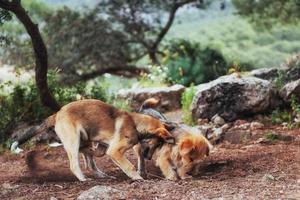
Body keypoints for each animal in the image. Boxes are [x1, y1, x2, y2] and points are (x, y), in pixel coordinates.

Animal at [11, 99, 175, 181]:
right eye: (156, 144)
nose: (148, 158)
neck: (136, 124)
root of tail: (57, 114)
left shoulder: (104, 147)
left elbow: (97, 154)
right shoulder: (114, 151)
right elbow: (129, 166)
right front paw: (137, 178)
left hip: (84, 137)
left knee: (89, 160)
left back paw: (100, 174)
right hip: (73, 140)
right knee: (74, 164)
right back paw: (84, 179)